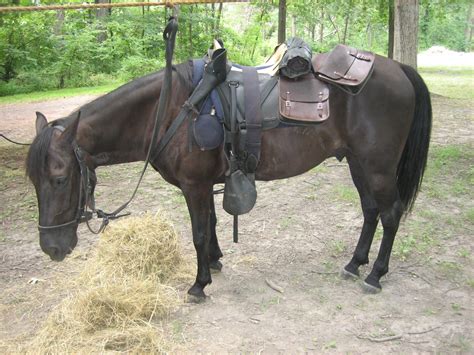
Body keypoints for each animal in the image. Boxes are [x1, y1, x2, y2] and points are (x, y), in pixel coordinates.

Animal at [27, 52, 432, 300]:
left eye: (60, 178)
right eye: (34, 181)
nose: (52, 248)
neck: (172, 110)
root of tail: (398, 68)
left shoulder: (194, 186)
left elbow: (198, 232)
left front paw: (199, 284)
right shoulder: (204, 185)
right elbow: (211, 226)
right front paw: (216, 261)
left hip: (377, 167)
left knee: (390, 213)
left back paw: (375, 274)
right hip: (357, 164)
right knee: (370, 211)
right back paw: (354, 263)